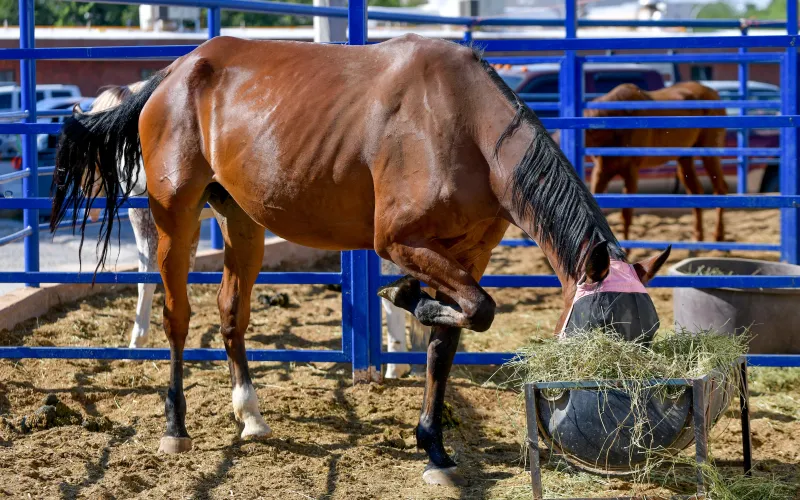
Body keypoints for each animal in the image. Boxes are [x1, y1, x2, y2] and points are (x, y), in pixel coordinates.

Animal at [51, 34, 670, 486]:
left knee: (232, 312)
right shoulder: (397, 241)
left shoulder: (470, 252)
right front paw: (405, 296)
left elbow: (450, 339)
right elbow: (478, 309)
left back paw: (250, 413)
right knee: (177, 314)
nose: (626, 420)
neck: (462, 121)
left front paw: (434, 447)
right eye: (599, 333)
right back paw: (175, 425)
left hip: (242, 221)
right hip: (174, 215)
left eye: (647, 335)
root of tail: (173, 73)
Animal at [554, 81, 728, 242]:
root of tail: (714, 93)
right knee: (696, 192)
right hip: (684, 159)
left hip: (709, 153)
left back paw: (718, 235)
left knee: (720, 189)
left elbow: (626, 213)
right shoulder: (602, 171)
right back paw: (698, 237)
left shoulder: (631, 172)